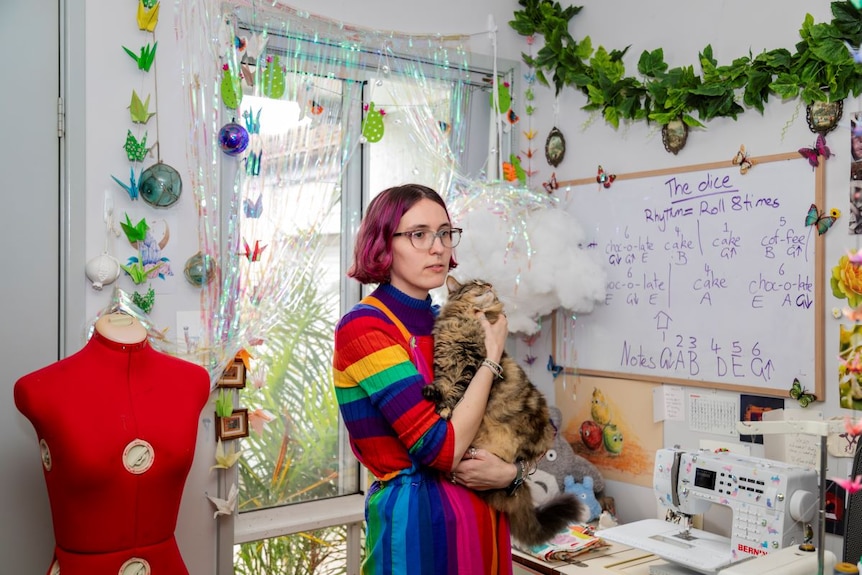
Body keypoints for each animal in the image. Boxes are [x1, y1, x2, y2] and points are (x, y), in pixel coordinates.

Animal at [426, 276, 588, 548]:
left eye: (486, 283)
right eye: (477, 283)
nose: (490, 285)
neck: (464, 320)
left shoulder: (472, 366)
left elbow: (457, 392)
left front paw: (447, 410)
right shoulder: (444, 363)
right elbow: (442, 385)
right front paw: (434, 397)